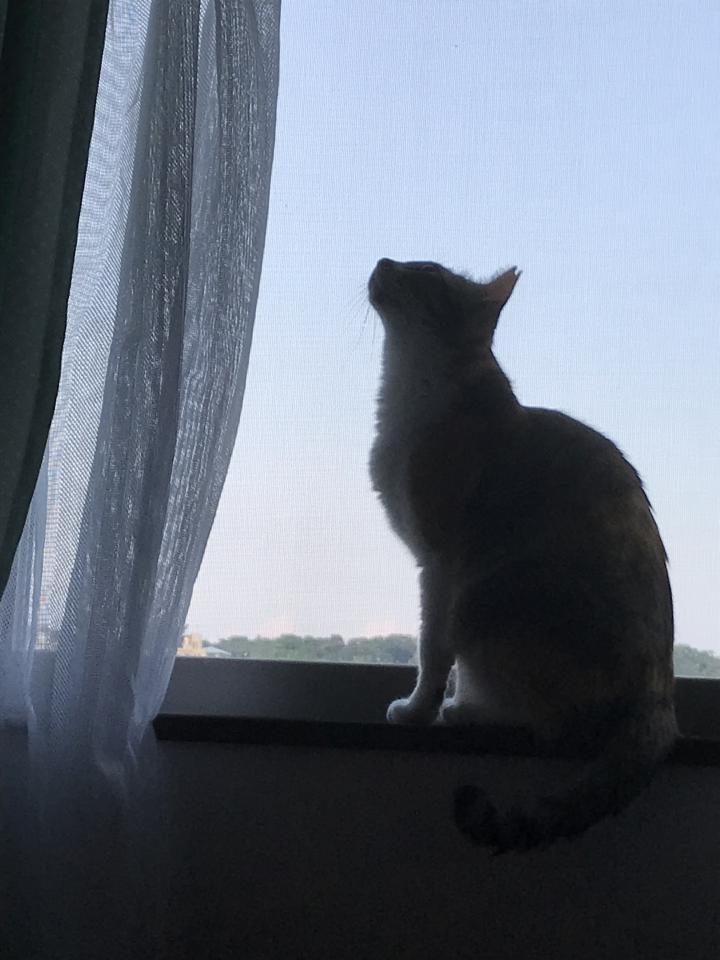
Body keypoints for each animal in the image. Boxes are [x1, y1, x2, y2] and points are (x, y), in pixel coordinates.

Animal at [367, 257, 676, 852]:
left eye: (425, 274)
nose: (382, 262)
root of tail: (662, 697)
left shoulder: (439, 565)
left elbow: (432, 650)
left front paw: (417, 712)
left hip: (484, 597)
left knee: (550, 725)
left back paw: (464, 714)